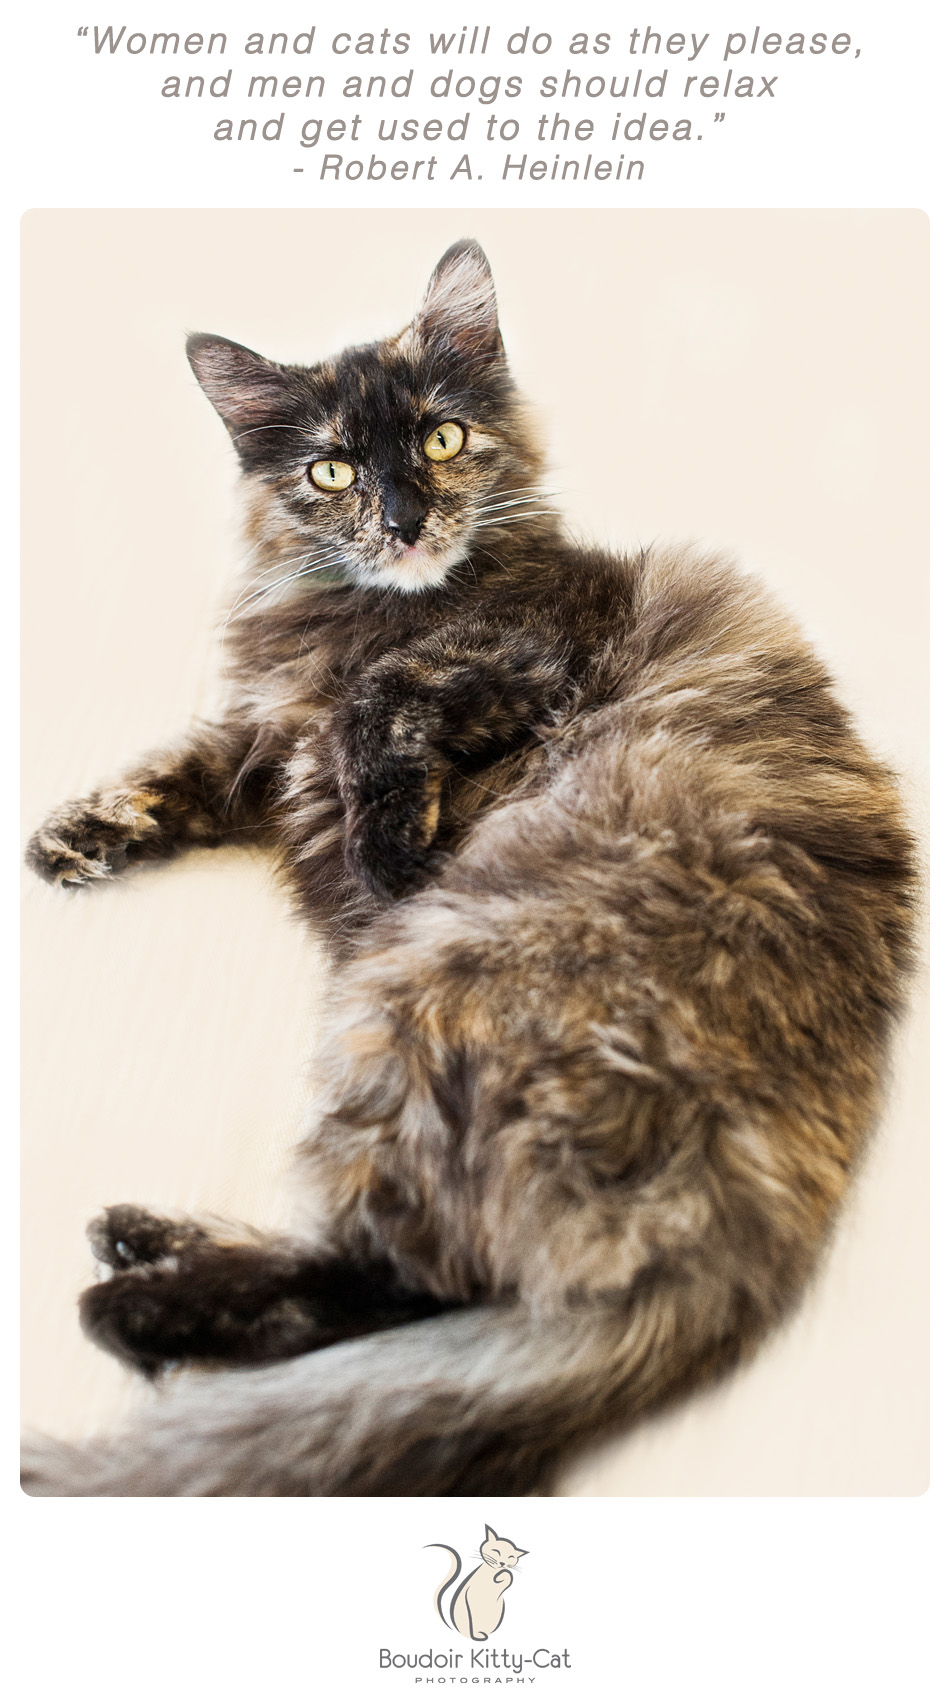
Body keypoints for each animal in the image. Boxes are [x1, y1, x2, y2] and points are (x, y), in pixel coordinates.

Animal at [20, 243, 919, 1505]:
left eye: (441, 439)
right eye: (332, 468)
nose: (402, 521)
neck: (370, 605)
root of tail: (749, 1215)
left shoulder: (522, 652)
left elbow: (383, 696)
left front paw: (389, 847)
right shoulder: (265, 745)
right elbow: (182, 769)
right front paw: (73, 835)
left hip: (418, 1000)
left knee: (401, 1281)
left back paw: (139, 1297)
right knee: (398, 1283)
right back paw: (146, 1247)